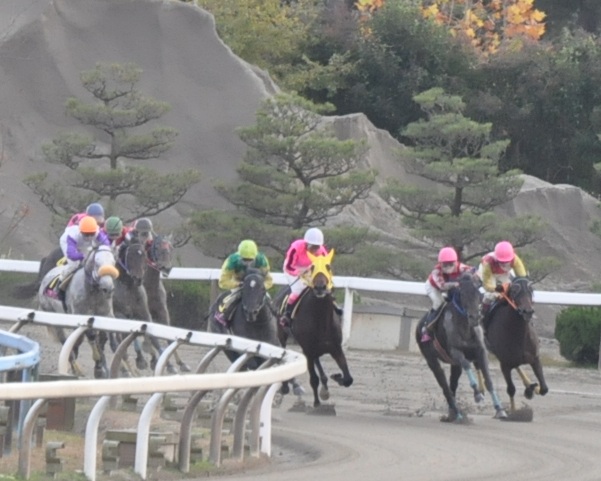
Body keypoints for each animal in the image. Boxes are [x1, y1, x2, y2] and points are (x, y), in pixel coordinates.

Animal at [37, 245, 119, 378]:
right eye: (97, 264)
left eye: (113, 263)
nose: (108, 288)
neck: (93, 292)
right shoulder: (81, 315)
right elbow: (91, 336)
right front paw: (98, 367)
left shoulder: (107, 314)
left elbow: (111, 337)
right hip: (53, 317)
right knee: (65, 341)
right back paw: (75, 368)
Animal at [276, 249, 353, 412]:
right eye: (312, 267)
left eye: (328, 266)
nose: (320, 287)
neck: (321, 320)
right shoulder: (308, 350)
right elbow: (313, 379)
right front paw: (317, 402)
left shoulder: (335, 347)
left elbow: (348, 378)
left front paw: (336, 378)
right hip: (282, 335)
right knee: (284, 354)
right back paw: (284, 388)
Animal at [416, 271, 508, 422]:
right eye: (462, 294)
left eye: (479, 294)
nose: (474, 318)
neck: (465, 328)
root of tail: (419, 325)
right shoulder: (455, 351)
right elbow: (467, 364)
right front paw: (478, 395)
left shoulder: (480, 351)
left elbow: (488, 379)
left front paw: (500, 410)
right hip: (432, 360)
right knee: (445, 386)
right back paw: (457, 413)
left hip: (454, 365)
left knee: (452, 385)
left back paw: (452, 413)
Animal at [483, 276, 549, 413]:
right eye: (514, 291)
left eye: (531, 289)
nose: (527, 311)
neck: (519, 335)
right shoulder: (504, 364)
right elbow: (511, 389)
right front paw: (513, 410)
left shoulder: (535, 358)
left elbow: (544, 388)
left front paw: (531, 389)